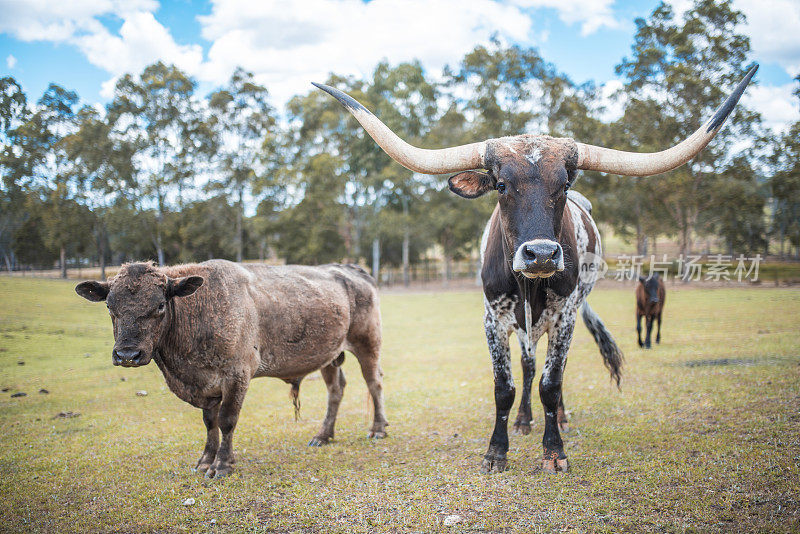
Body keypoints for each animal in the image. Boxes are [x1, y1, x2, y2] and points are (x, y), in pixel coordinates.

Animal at [76, 260, 388, 478]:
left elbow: (226, 420)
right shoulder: (207, 385)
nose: (127, 354)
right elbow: (209, 423)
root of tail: (349, 268)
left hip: (367, 342)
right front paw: (205, 460)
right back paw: (323, 435)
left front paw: (223, 464)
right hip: (328, 355)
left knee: (374, 383)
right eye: (110, 306)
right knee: (335, 390)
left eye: (161, 305)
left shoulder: (237, 376)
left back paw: (377, 428)